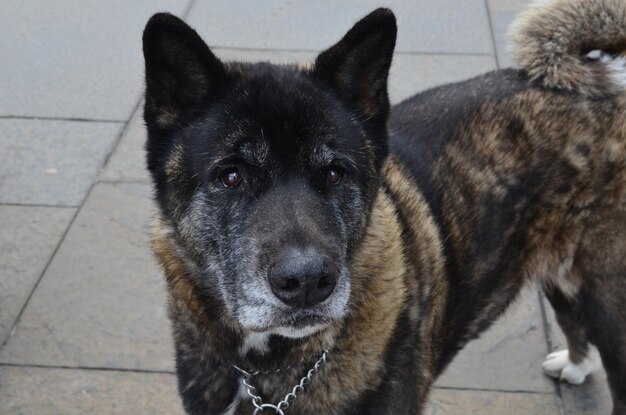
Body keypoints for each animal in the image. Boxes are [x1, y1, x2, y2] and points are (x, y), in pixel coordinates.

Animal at [141, 0, 624, 414]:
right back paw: (575, 365)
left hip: (610, 301)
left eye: (334, 173)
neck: (265, 369)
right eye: (231, 176)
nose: (306, 282)